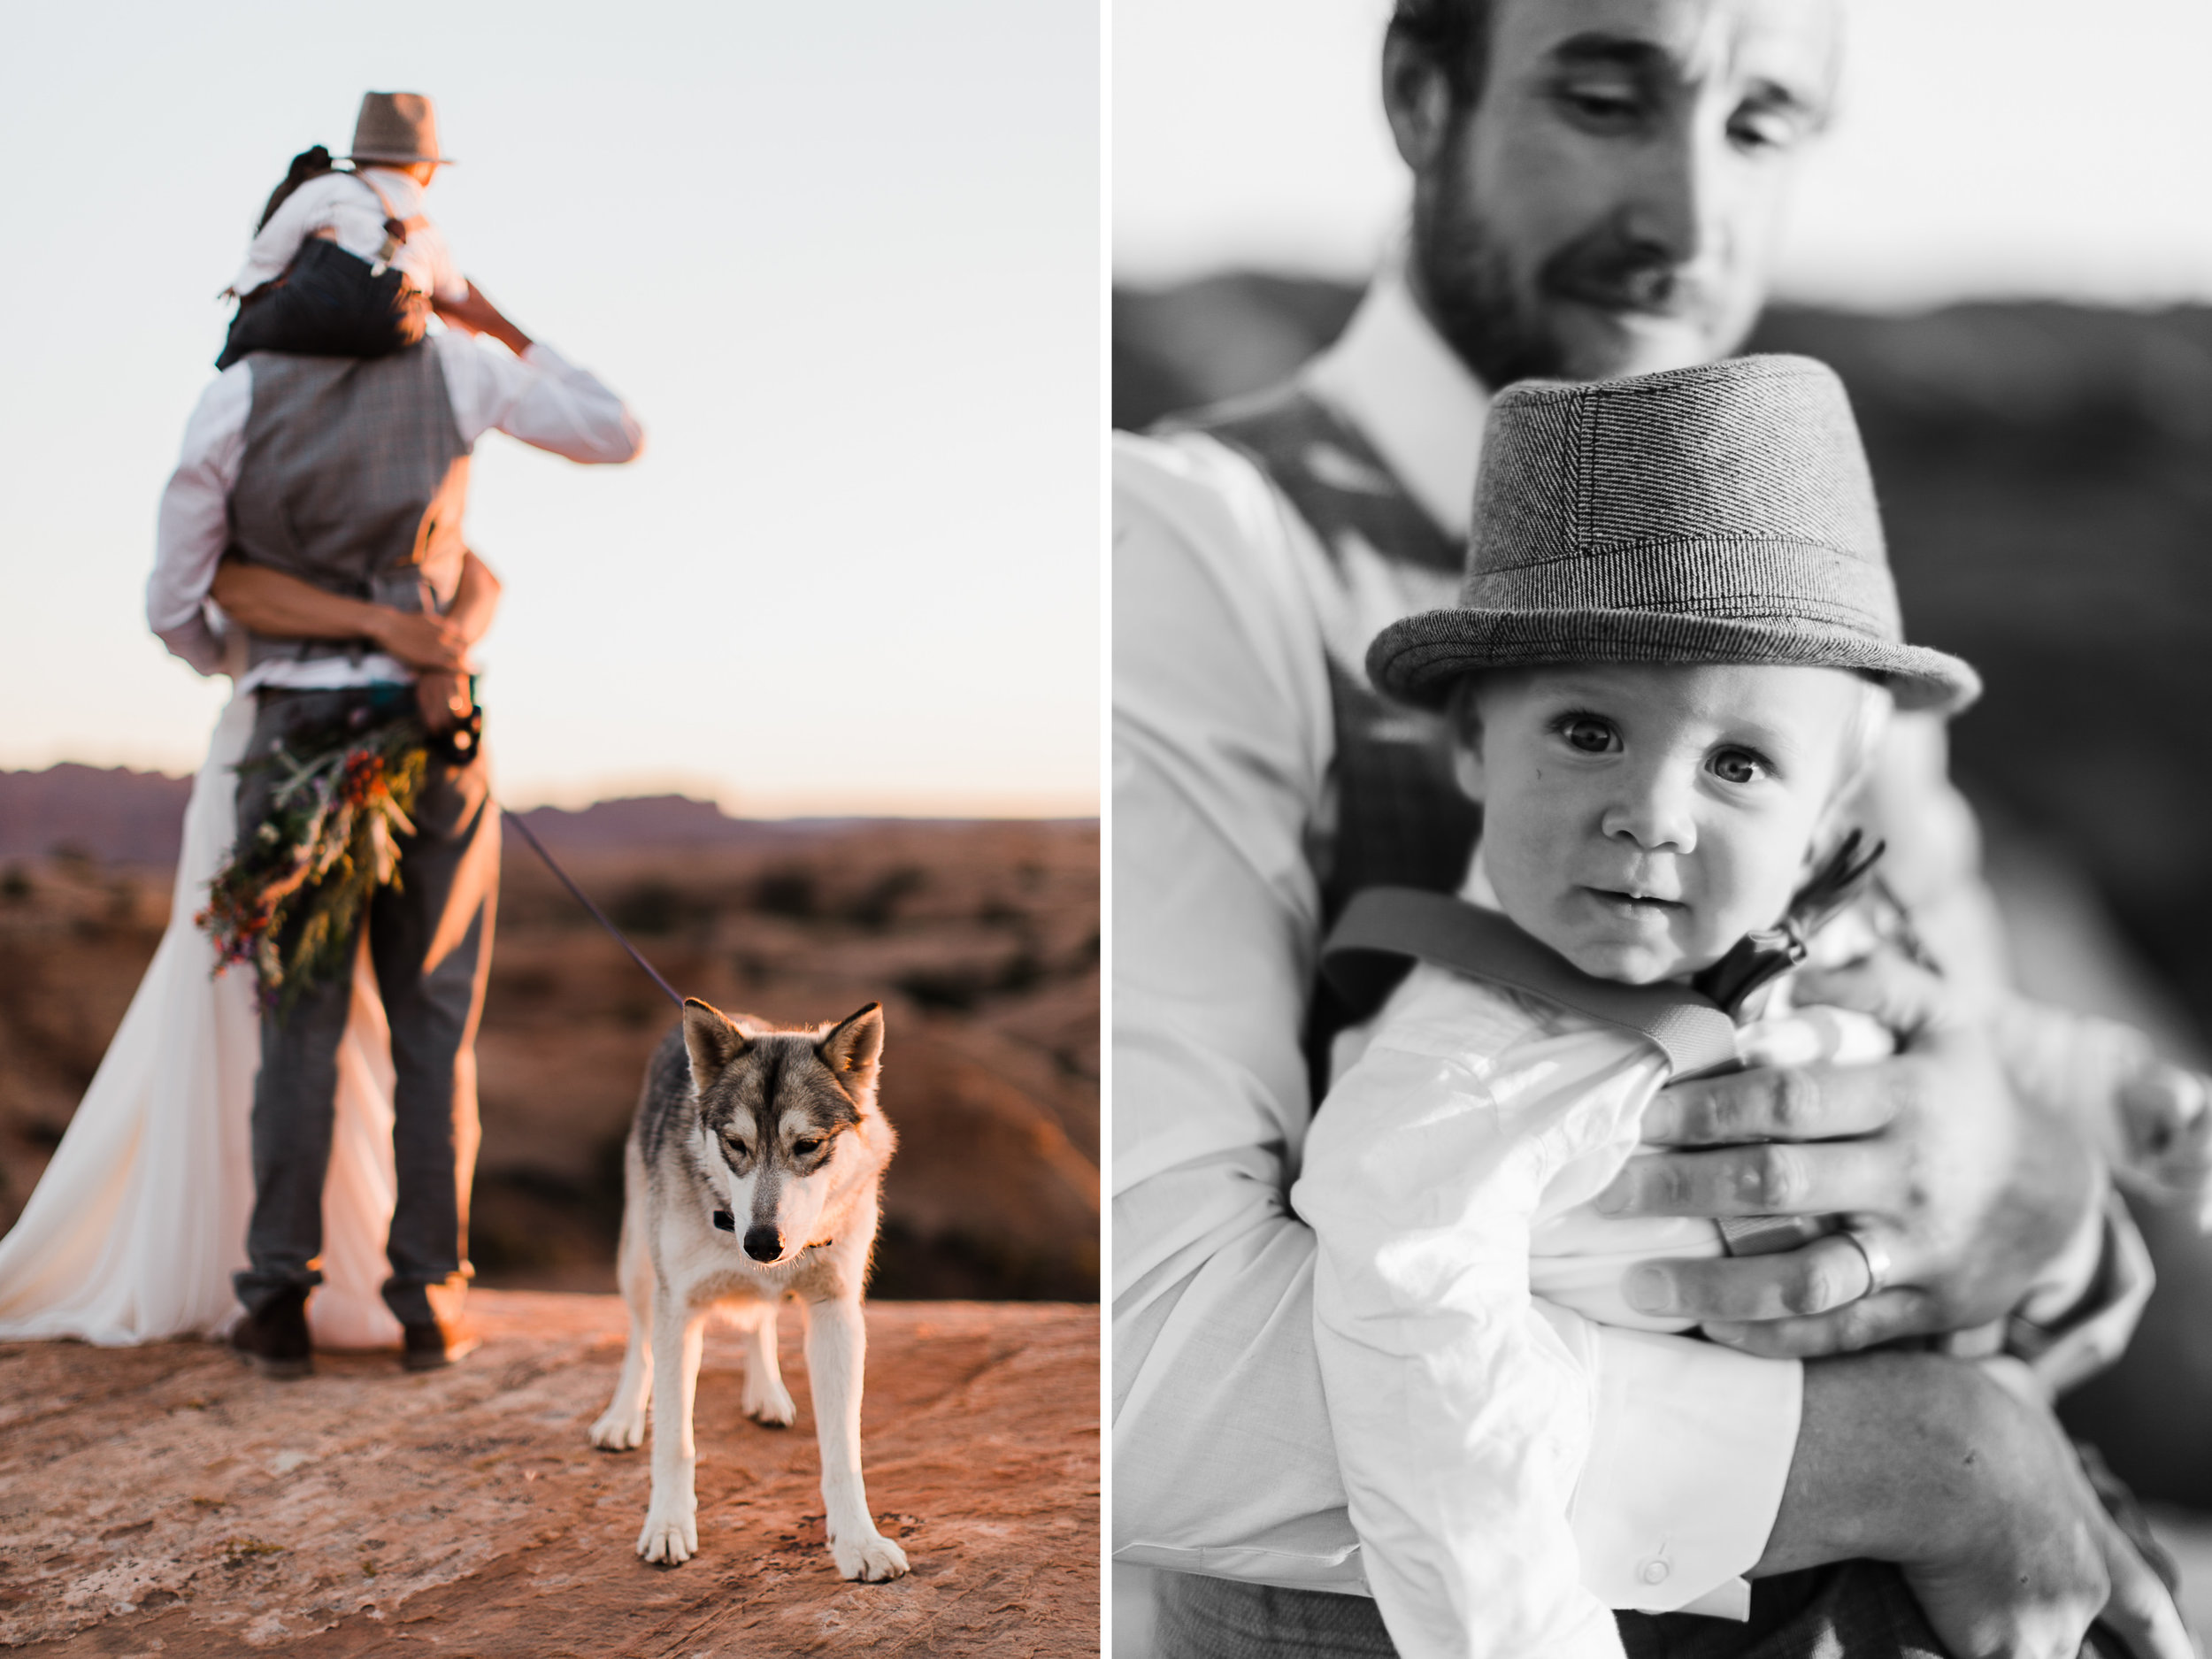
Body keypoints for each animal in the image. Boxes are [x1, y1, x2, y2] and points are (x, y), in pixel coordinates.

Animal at [593, 1000, 911, 1584]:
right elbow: (674, 1439)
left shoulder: (837, 1314)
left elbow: (842, 1451)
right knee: (639, 1343)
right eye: (735, 1145)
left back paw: (766, 1394)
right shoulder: (680, 1309)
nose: (761, 1244)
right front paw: (668, 1525)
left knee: (760, 1321)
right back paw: (622, 1418)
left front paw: (859, 1542)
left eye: (808, 1146)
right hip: (639, 1266)